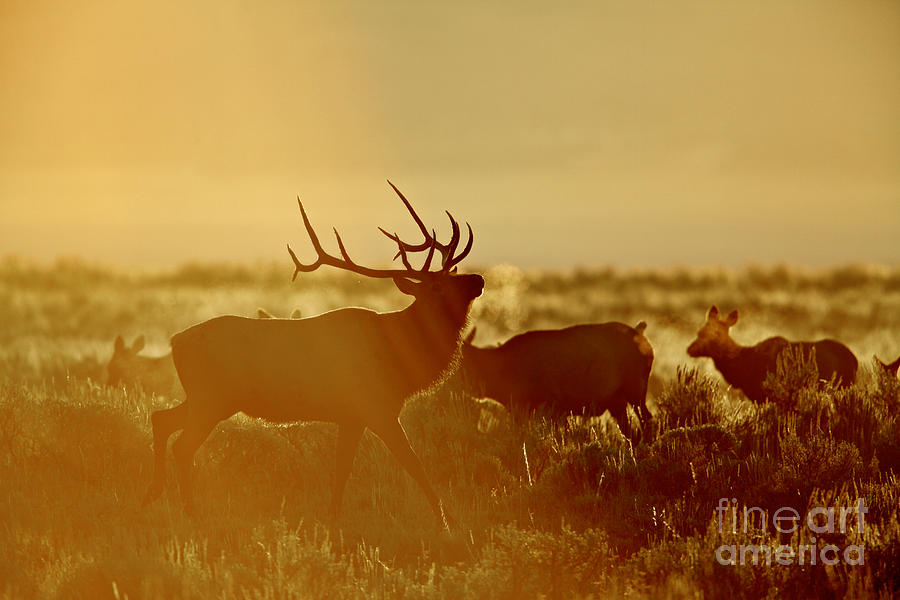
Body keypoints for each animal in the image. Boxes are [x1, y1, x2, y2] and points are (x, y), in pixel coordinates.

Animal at [146, 180, 486, 528]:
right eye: (436, 286)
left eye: (454, 274)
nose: (479, 278)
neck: (401, 355)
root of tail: (175, 341)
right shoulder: (378, 407)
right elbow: (414, 464)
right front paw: (446, 524)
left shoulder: (352, 416)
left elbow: (342, 471)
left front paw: (332, 522)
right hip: (212, 398)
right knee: (182, 446)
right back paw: (191, 513)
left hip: (206, 399)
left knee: (161, 419)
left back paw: (154, 495)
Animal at [460, 322, 652, 442]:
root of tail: (641, 336)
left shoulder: (552, 408)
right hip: (617, 404)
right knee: (631, 433)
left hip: (636, 394)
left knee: (647, 420)